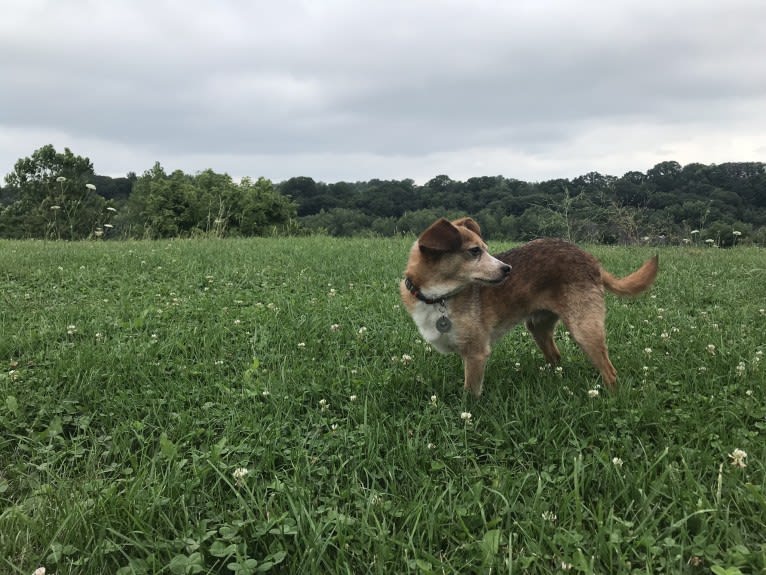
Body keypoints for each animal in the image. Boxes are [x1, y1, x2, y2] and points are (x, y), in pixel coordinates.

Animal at [402, 216, 660, 396]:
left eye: (485, 249)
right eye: (474, 251)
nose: (508, 269)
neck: (437, 297)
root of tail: (590, 259)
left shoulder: (476, 354)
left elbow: (470, 394)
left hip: (584, 328)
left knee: (610, 372)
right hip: (538, 327)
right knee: (556, 356)